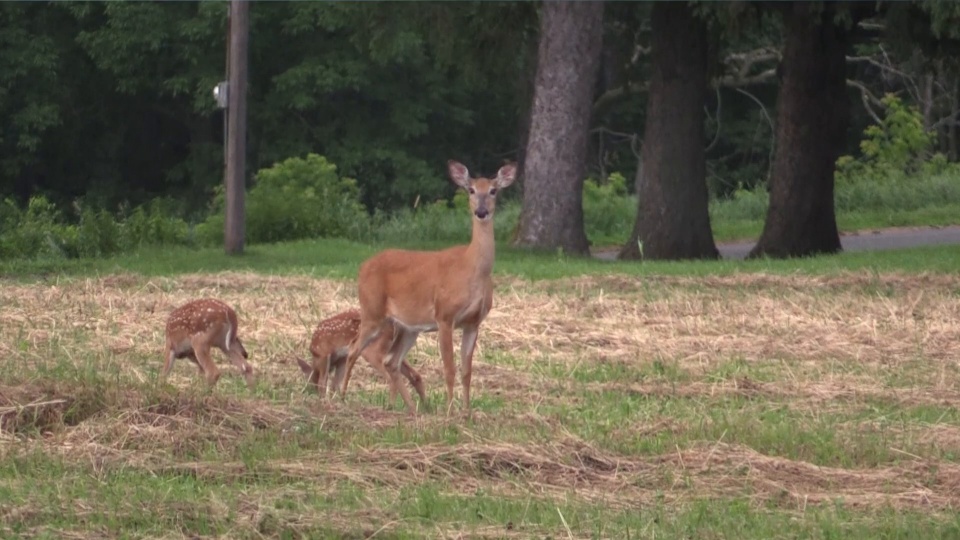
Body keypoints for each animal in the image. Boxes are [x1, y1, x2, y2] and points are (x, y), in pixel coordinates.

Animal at [340, 158, 512, 416]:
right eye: (471, 190)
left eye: (493, 190)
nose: (481, 212)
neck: (472, 268)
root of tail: (363, 266)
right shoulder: (444, 315)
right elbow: (449, 368)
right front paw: (450, 411)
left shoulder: (473, 322)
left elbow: (466, 371)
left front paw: (467, 412)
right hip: (372, 310)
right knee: (354, 349)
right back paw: (339, 397)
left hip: (407, 326)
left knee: (391, 360)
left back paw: (410, 408)